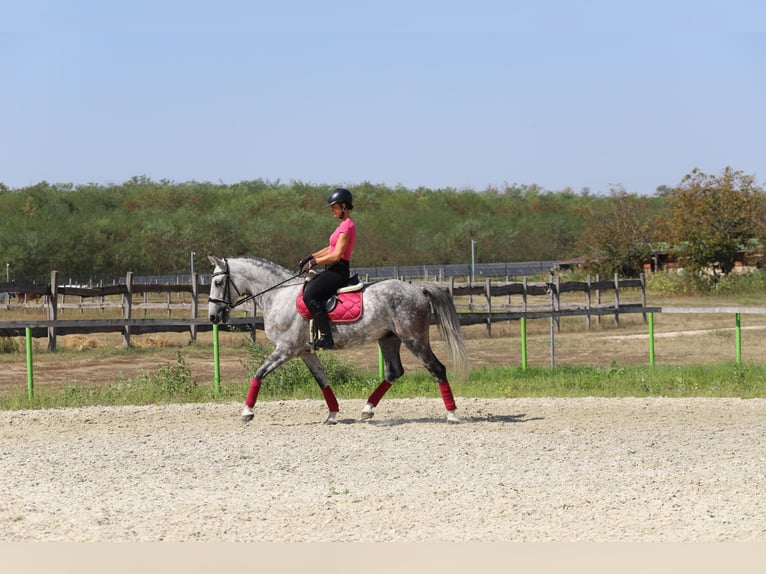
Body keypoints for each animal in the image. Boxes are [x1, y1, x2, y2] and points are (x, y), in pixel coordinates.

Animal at [210, 258, 472, 426]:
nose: (213, 317)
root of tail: (417, 289)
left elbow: (259, 373)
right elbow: (322, 380)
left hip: (414, 339)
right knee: (394, 372)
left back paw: (452, 414)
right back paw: (367, 410)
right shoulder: (305, 352)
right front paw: (333, 414)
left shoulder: (286, 349)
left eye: (218, 283)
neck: (279, 295)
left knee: (437, 368)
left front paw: (246, 412)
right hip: (388, 340)